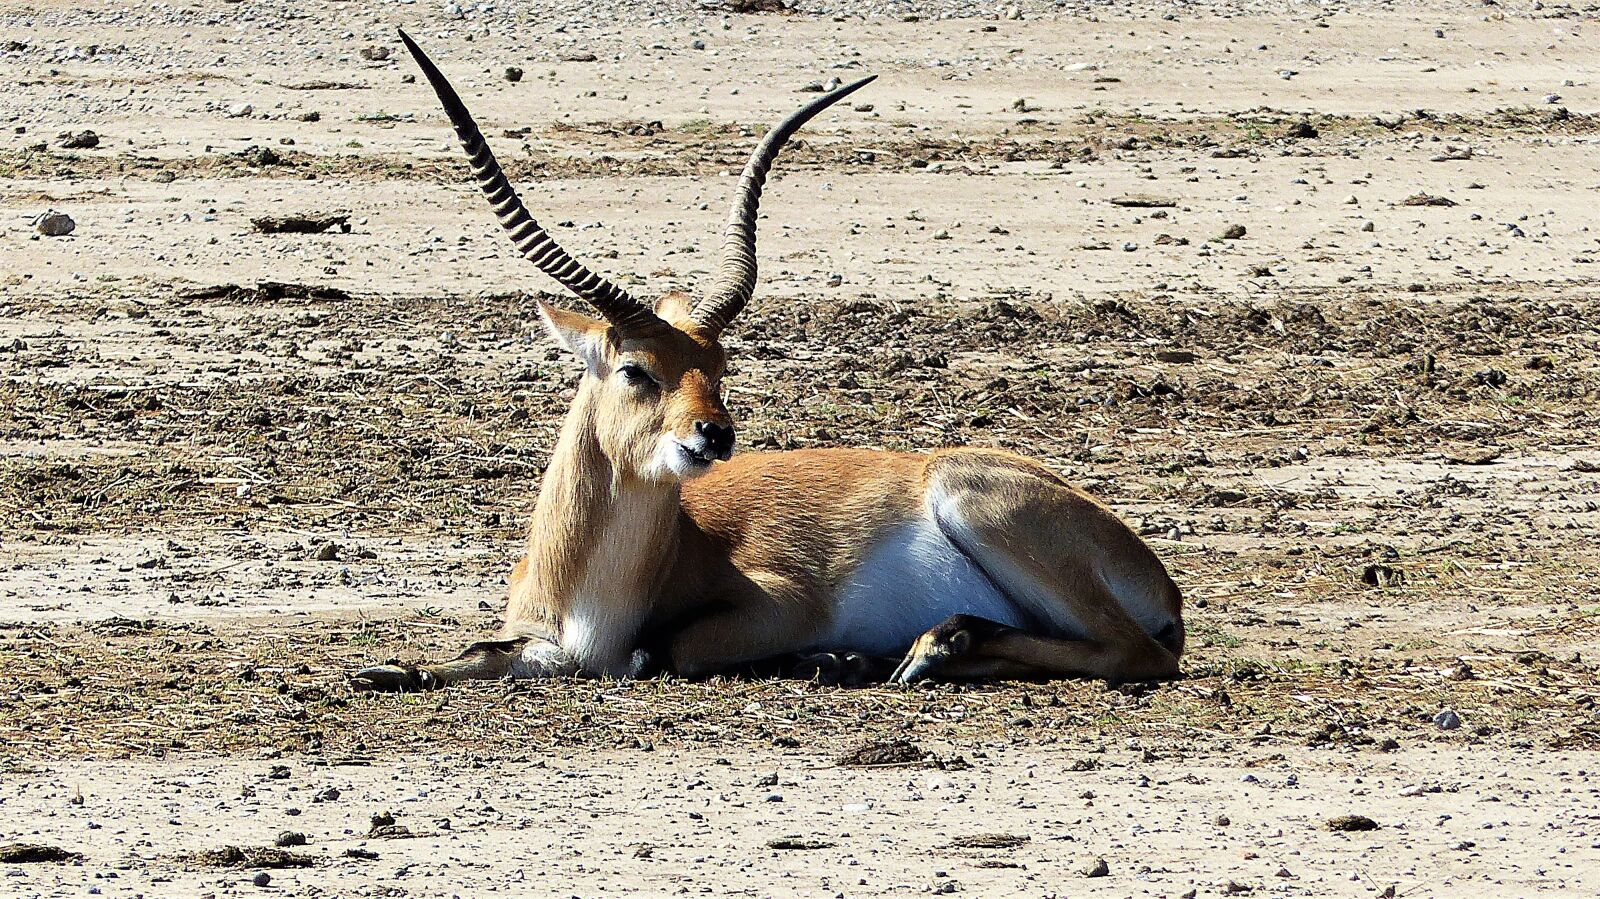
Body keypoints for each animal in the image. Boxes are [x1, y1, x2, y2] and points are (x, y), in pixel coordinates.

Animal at [352, 31, 1185, 691]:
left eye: (717, 370)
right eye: (637, 369)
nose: (712, 435)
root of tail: (1159, 579)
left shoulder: (782, 603)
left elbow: (663, 651)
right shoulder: (538, 639)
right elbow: (478, 652)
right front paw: (388, 668)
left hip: (974, 500)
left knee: (1135, 651)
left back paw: (905, 651)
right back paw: (914, 654)